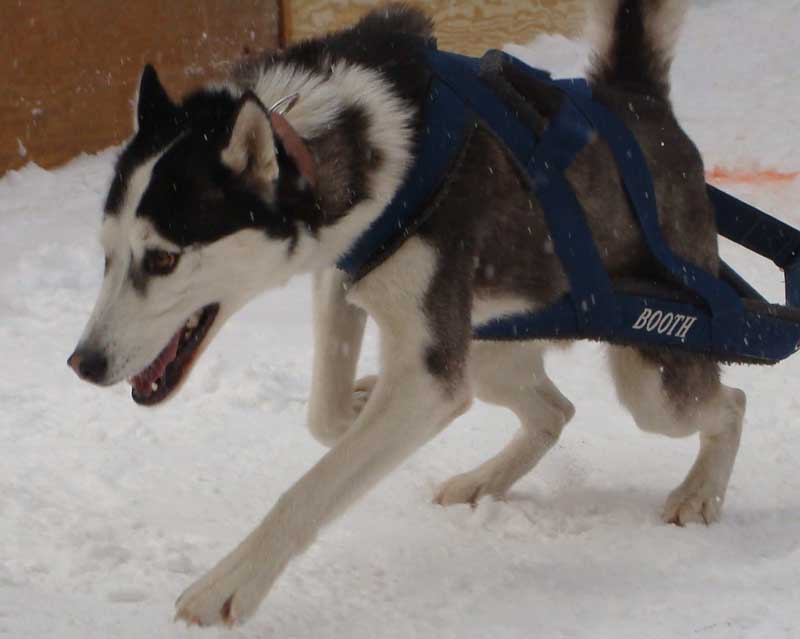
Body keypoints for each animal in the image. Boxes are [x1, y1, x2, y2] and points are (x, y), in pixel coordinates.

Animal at [70, 0, 752, 628]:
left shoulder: (430, 379)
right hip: (491, 350)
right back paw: (486, 480)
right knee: (556, 410)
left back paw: (700, 493)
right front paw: (357, 400)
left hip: (650, 382)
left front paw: (231, 582)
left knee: (730, 402)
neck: (340, 146)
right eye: (105, 254)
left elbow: (311, 487)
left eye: (162, 259)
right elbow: (325, 414)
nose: (83, 363)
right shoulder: (345, 280)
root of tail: (635, 98)